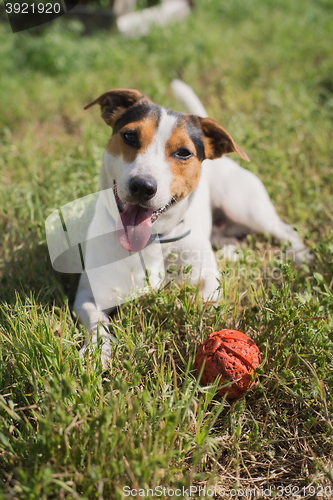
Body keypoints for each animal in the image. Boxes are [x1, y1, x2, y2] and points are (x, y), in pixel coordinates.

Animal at [74, 80, 308, 366]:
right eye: (129, 136)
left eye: (184, 153)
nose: (143, 186)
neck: (154, 241)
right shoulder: (87, 296)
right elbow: (97, 323)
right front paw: (97, 353)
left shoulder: (209, 283)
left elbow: (203, 302)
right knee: (229, 240)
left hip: (248, 209)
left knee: (284, 230)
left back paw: (300, 256)